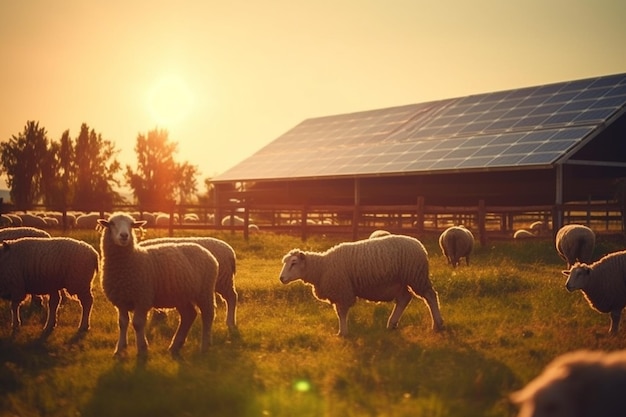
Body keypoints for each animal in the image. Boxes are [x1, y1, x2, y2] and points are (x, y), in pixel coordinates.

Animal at [95, 213, 217, 356]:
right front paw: (119, 349)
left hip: (204, 291)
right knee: (189, 316)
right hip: (181, 296)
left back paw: (204, 346)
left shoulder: (142, 298)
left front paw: (142, 349)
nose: (124, 235)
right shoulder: (121, 301)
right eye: (112, 223)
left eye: (131, 225)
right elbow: (122, 323)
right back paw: (175, 345)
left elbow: (137, 324)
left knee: (208, 315)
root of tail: (206, 252)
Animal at [278, 234, 444, 334]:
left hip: (416, 276)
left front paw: (342, 332)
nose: (281, 278)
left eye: (294, 263)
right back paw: (391, 324)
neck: (322, 267)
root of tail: (419, 245)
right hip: (400, 282)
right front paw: (342, 331)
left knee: (430, 296)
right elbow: (340, 313)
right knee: (404, 299)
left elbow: (341, 313)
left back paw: (438, 325)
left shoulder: (343, 291)